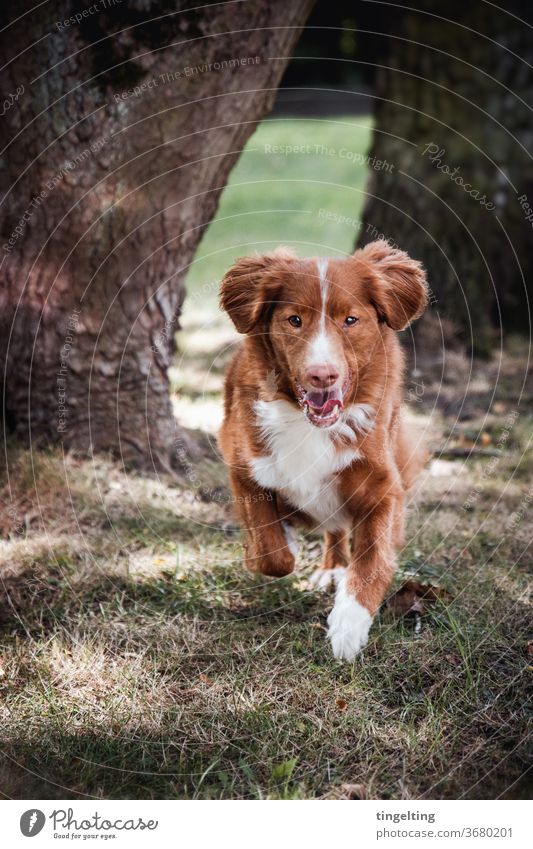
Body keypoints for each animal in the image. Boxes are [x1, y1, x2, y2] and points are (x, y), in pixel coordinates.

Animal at [218, 242, 426, 660]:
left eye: (350, 320)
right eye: (295, 320)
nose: (321, 375)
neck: (309, 423)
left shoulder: (384, 486)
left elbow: (372, 560)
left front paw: (349, 624)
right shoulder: (242, 468)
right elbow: (271, 554)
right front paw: (281, 535)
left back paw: (335, 567)